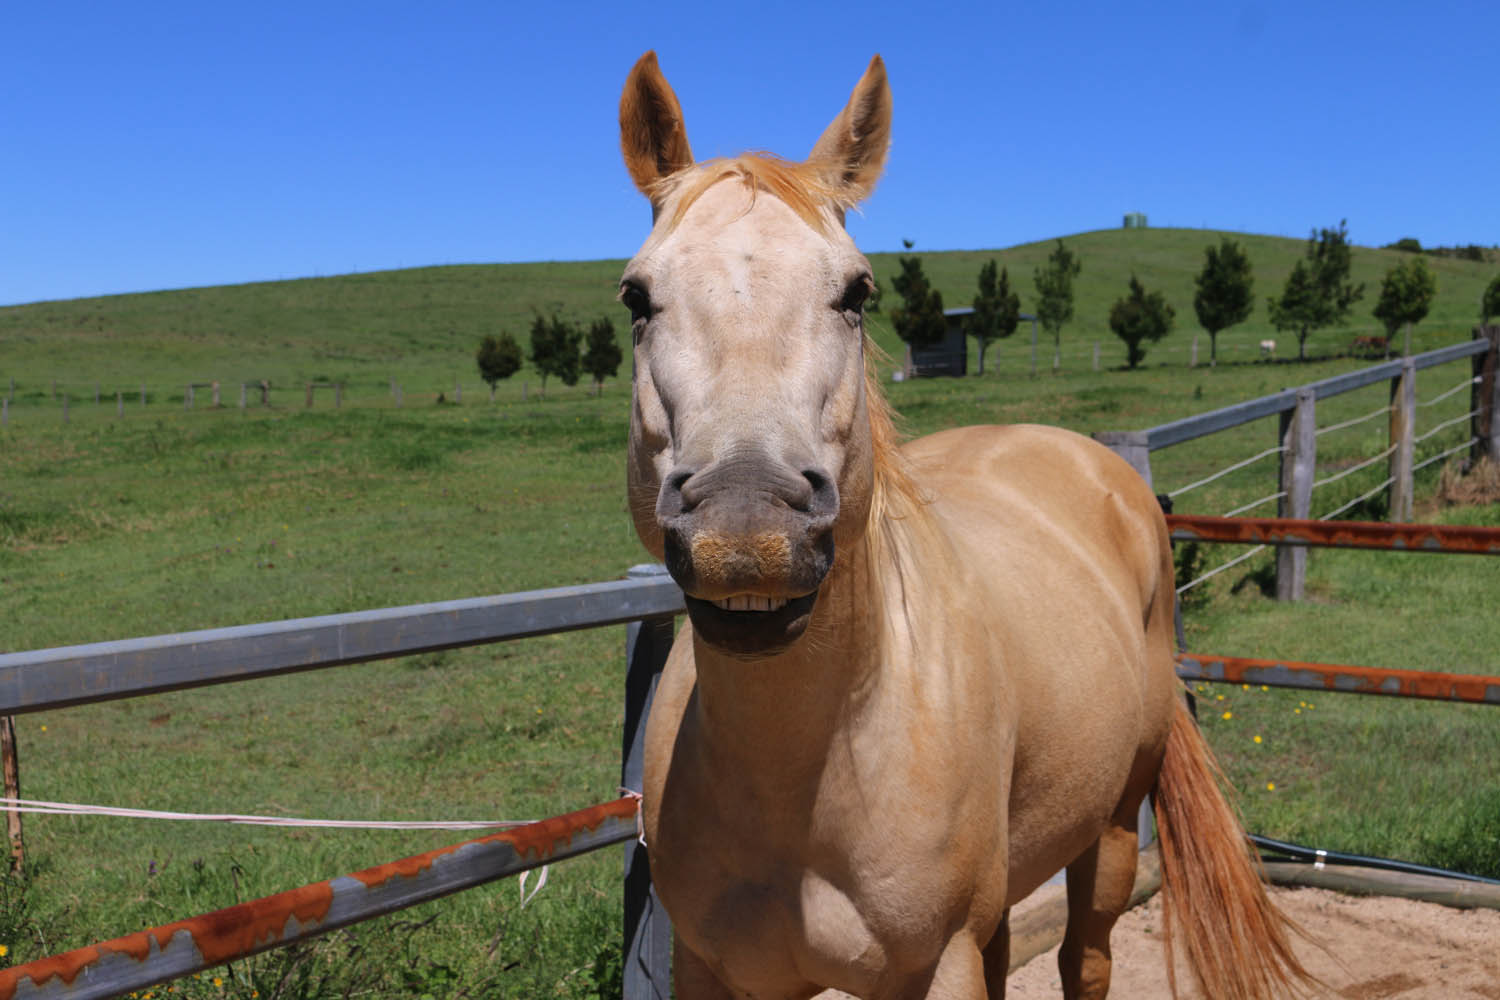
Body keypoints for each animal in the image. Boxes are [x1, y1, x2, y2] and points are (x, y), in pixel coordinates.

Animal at [609, 50, 1314, 995]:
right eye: (637, 297)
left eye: (858, 292)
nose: (747, 530)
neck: (806, 777)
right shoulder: (713, 969)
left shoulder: (939, 961)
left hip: (1112, 829)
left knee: (1084, 957)